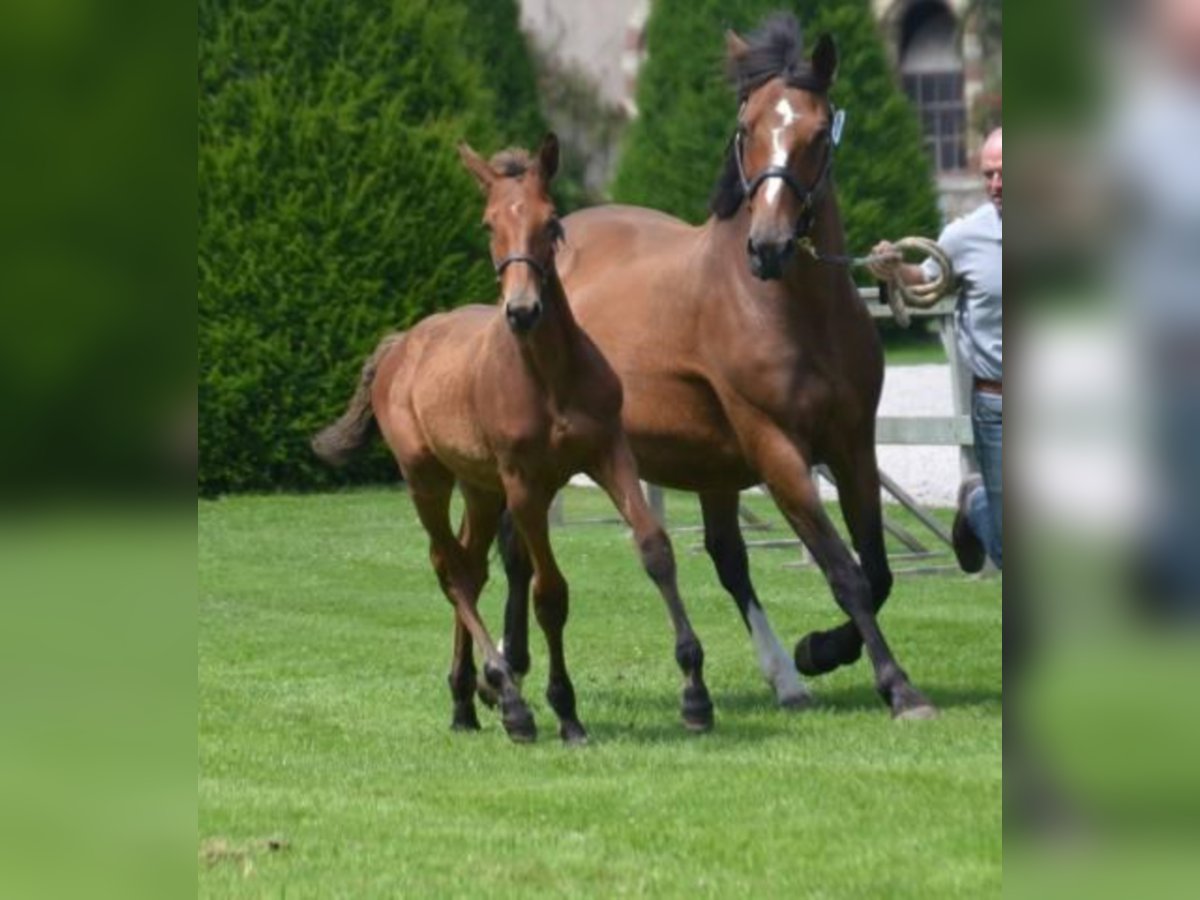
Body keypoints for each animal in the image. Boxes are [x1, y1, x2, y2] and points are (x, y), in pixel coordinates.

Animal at [314, 132, 715, 739]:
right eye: (487, 225)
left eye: (552, 223)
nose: (523, 310)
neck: (549, 375)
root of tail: (403, 343)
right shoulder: (526, 484)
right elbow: (550, 592)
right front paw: (565, 710)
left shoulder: (608, 453)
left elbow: (655, 548)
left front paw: (695, 693)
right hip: (427, 479)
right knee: (452, 572)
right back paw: (508, 699)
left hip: (481, 487)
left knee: (471, 567)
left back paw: (464, 702)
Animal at [496, 17, 936, 724]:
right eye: (745, 128)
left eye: (819, 131)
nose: (769, 246)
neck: (791, 309)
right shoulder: (778, 449)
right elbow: (844, 572)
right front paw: (897, 686)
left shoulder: (853, 445)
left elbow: (876, 569)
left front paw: (819, 651)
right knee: (515, 548)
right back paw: (508, 667)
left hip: (704, 462)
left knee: (728, 558)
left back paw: (785, 676)